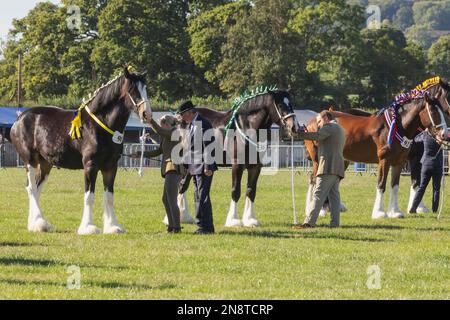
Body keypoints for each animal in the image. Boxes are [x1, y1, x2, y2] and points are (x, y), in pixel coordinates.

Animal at [10, 69, 151, 235]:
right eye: (133, 90)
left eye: (146, 89)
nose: (147, 114)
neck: (99, 125)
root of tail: (19, 119)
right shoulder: (90, 165)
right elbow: (89, 196)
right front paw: (88, 227)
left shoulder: (111, 166)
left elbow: (109, 196)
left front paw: (113, 226)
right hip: (30, 160)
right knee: (31, 188)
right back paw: (39, 223)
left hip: (45, 164)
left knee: (37, 188)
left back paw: (37, 224)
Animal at [304, 91, 448, 219]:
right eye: (433, 111)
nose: (445, 134)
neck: (397, 127)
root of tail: (312, 121)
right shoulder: (385, 160)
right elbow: (381, 184)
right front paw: (379, 213)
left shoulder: (399, 161)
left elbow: (395, 186)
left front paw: (395, 212)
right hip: (319, 159)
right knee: (315, 180)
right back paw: (314, 209)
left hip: (342, 160)